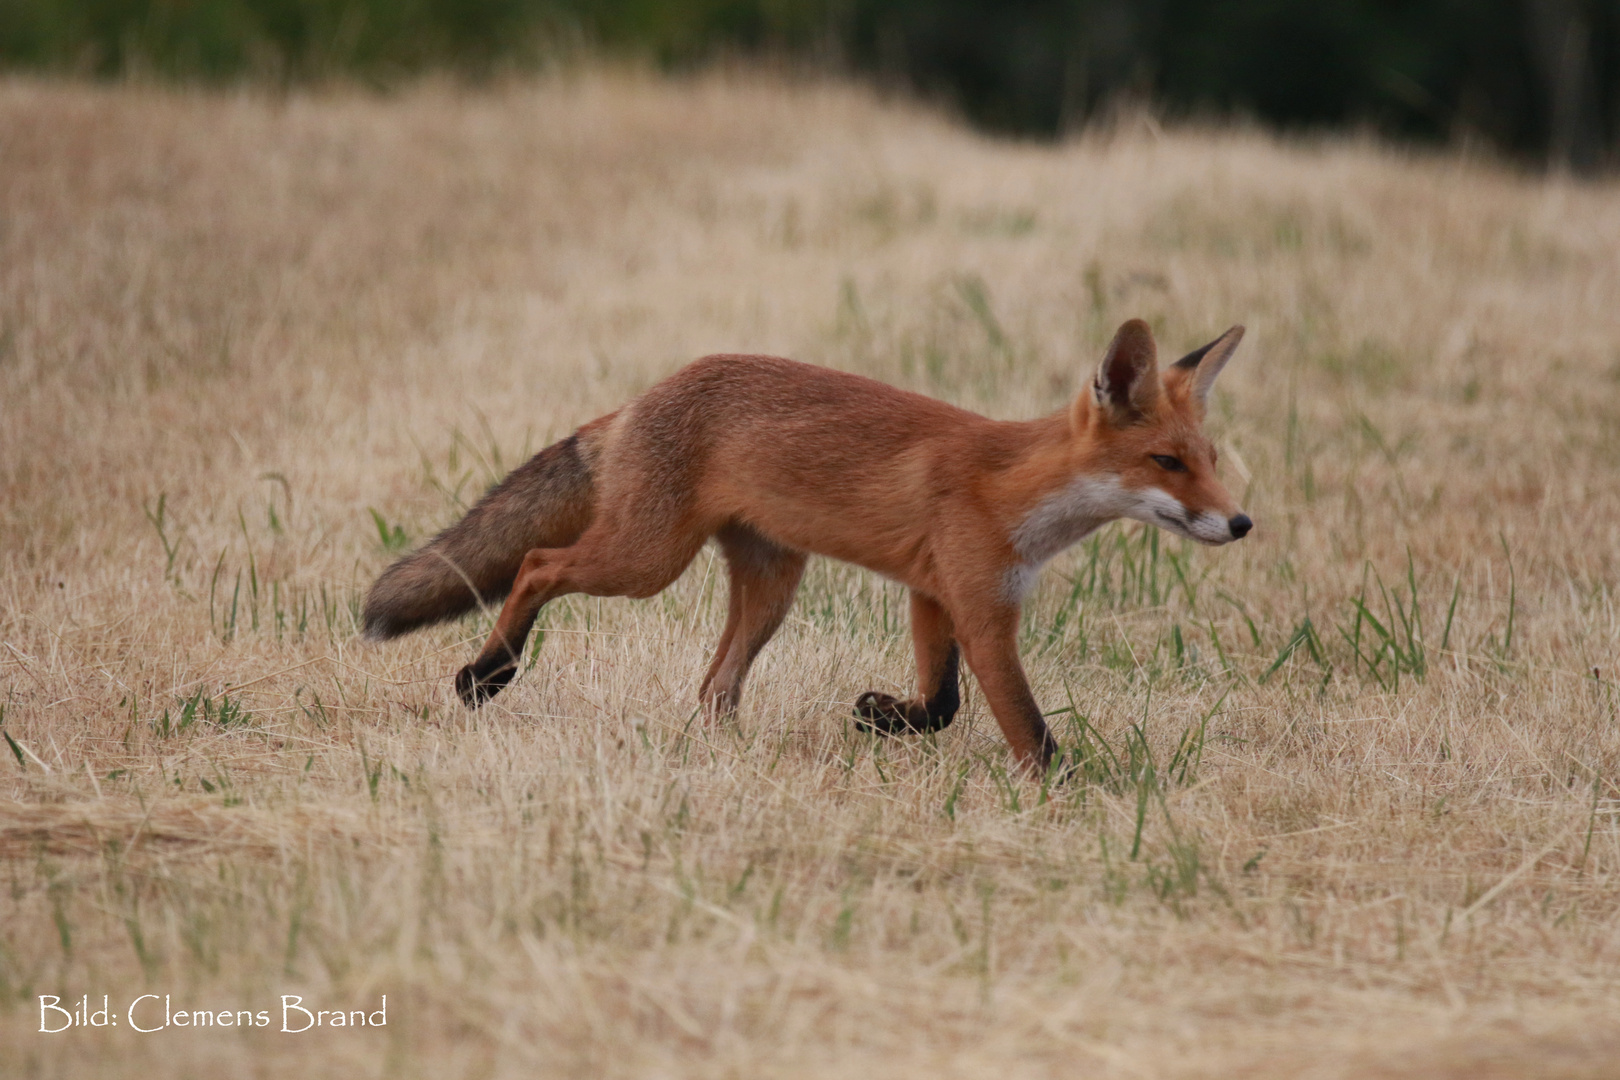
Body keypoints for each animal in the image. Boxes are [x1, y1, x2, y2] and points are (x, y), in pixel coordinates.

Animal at [367, 317, 1250, 773]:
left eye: (1210, 460)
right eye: (1167, 463)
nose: (1242, 525)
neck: (1012, 489)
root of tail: (636, 403)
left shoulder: (933, 592)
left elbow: (941, 703)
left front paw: (882, 717)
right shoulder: (980, 607)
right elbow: (1026, 726)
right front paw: (1070, 795)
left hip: (769, 587)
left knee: (713, 687)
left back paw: (731, 758)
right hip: (645, 561)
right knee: (534, 565)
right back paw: (488, 673)